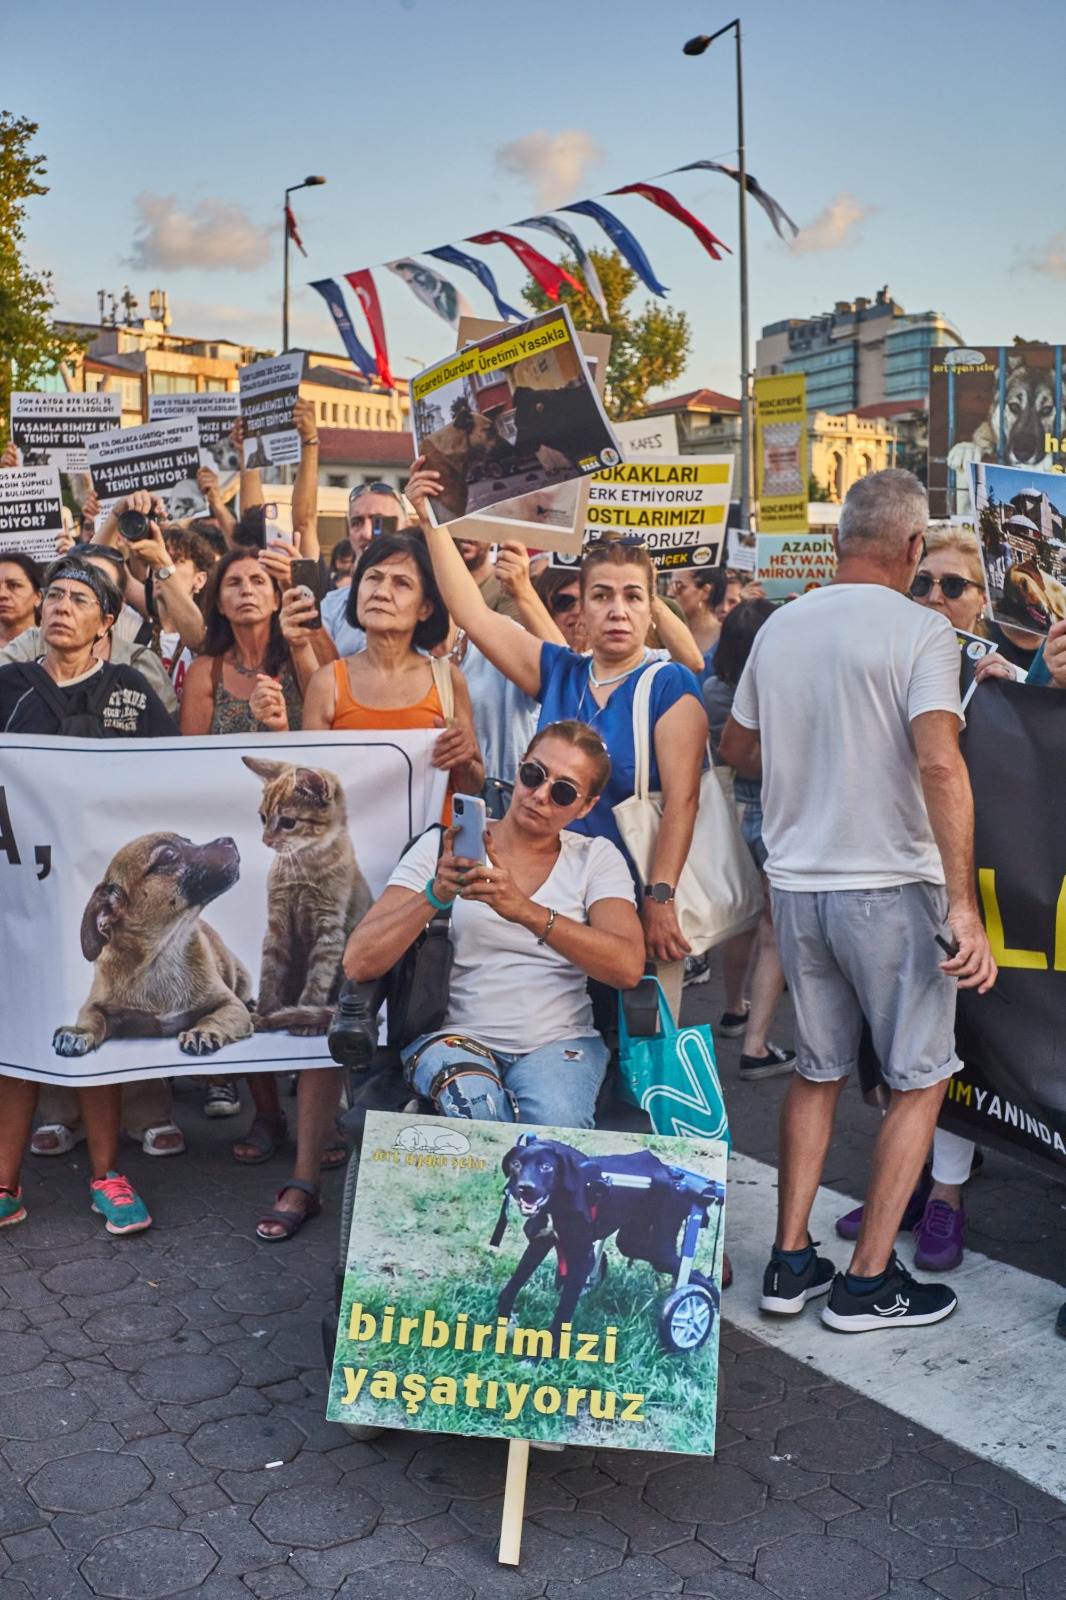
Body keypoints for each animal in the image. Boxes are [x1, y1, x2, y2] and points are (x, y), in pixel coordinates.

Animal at [489, 1132, 723, 1356]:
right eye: (516, 1164)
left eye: (546, 1167)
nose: (524, 1188)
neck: (558, 1202)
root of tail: (679, 1178)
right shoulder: (540, 1243)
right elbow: (510, 1289)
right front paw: (505, 1322)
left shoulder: (581, 1258)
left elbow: (562, 1314)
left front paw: (541, 1356)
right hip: (634, 1240)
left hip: (659, 1246)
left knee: (688, 1272)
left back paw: (705, 1299)